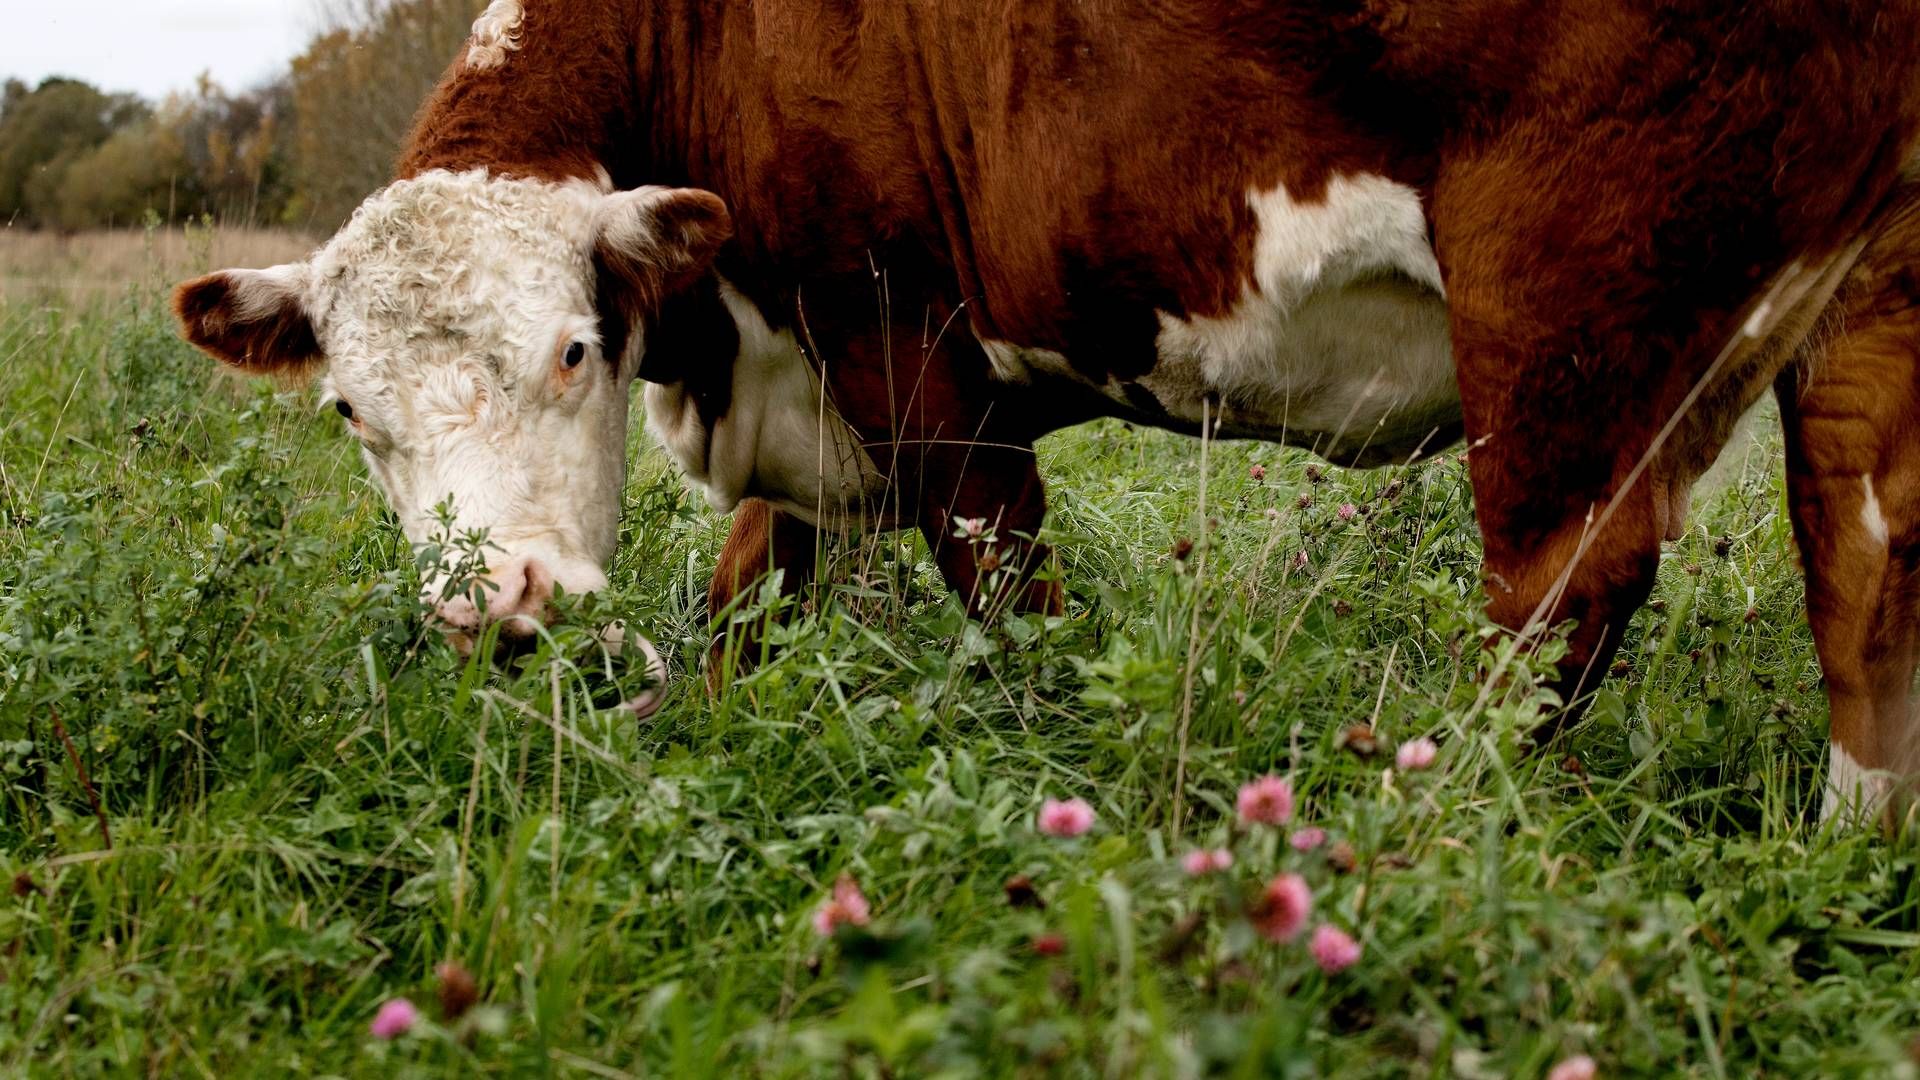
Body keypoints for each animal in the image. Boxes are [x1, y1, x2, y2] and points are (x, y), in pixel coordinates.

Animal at [172, 2, 1920, 814]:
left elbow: (1011, 607)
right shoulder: (801, 400)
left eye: (572, 351)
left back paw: (1406, 824)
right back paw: (1845, 849)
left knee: (1562, 592)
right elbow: (740, 610)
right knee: (1862, 565)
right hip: (1874, 296)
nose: (501, 603)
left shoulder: (910, 351)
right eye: (350, 412)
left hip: (1570, 284)